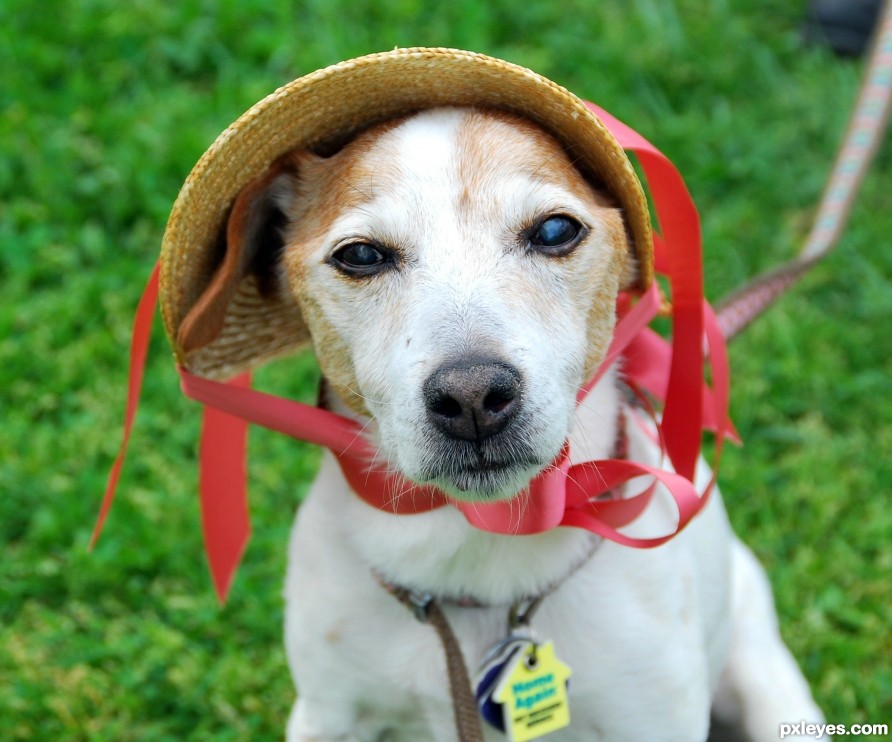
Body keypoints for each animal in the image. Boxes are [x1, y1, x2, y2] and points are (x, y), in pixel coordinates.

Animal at [181, 106, 828, 742]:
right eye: (360, 255)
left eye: (555, 231)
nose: (472, 397)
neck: (478, 545)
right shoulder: (327, 714)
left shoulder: (652, 716)